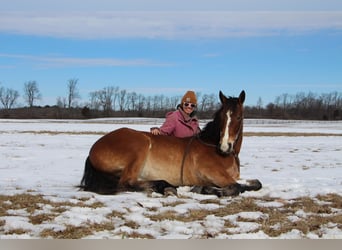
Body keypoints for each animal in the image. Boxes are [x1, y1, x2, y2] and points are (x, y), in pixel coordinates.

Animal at [79, 90, 262, 197]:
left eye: (239, 117)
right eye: (222, 117)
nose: (224, 146)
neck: (213, 148)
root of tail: (94, 148)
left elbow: (255, 184)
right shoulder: (214, 174)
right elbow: (236, 187)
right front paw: (203, 189)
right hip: (139, 148)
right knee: (126, 182)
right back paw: (166, 187)